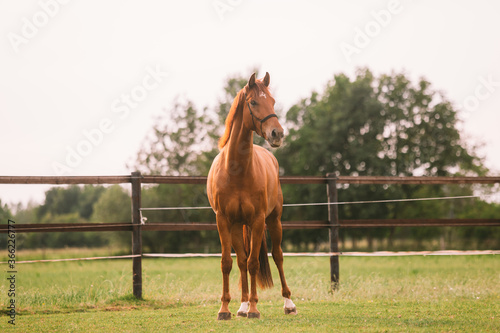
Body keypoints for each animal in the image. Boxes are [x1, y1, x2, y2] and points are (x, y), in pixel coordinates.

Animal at [207, 73, 296, 320]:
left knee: (278, 255)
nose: (277, 134)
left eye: (273, 101)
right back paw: (242, 306)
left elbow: (255, 262)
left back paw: (288, 303)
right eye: (254, 102)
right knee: (241, 262)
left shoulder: (257, 220)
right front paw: (225, 309)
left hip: (274, 221)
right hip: (238, 226)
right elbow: (228, 263)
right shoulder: (223, 221)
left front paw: (255, 309)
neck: (237, 171)